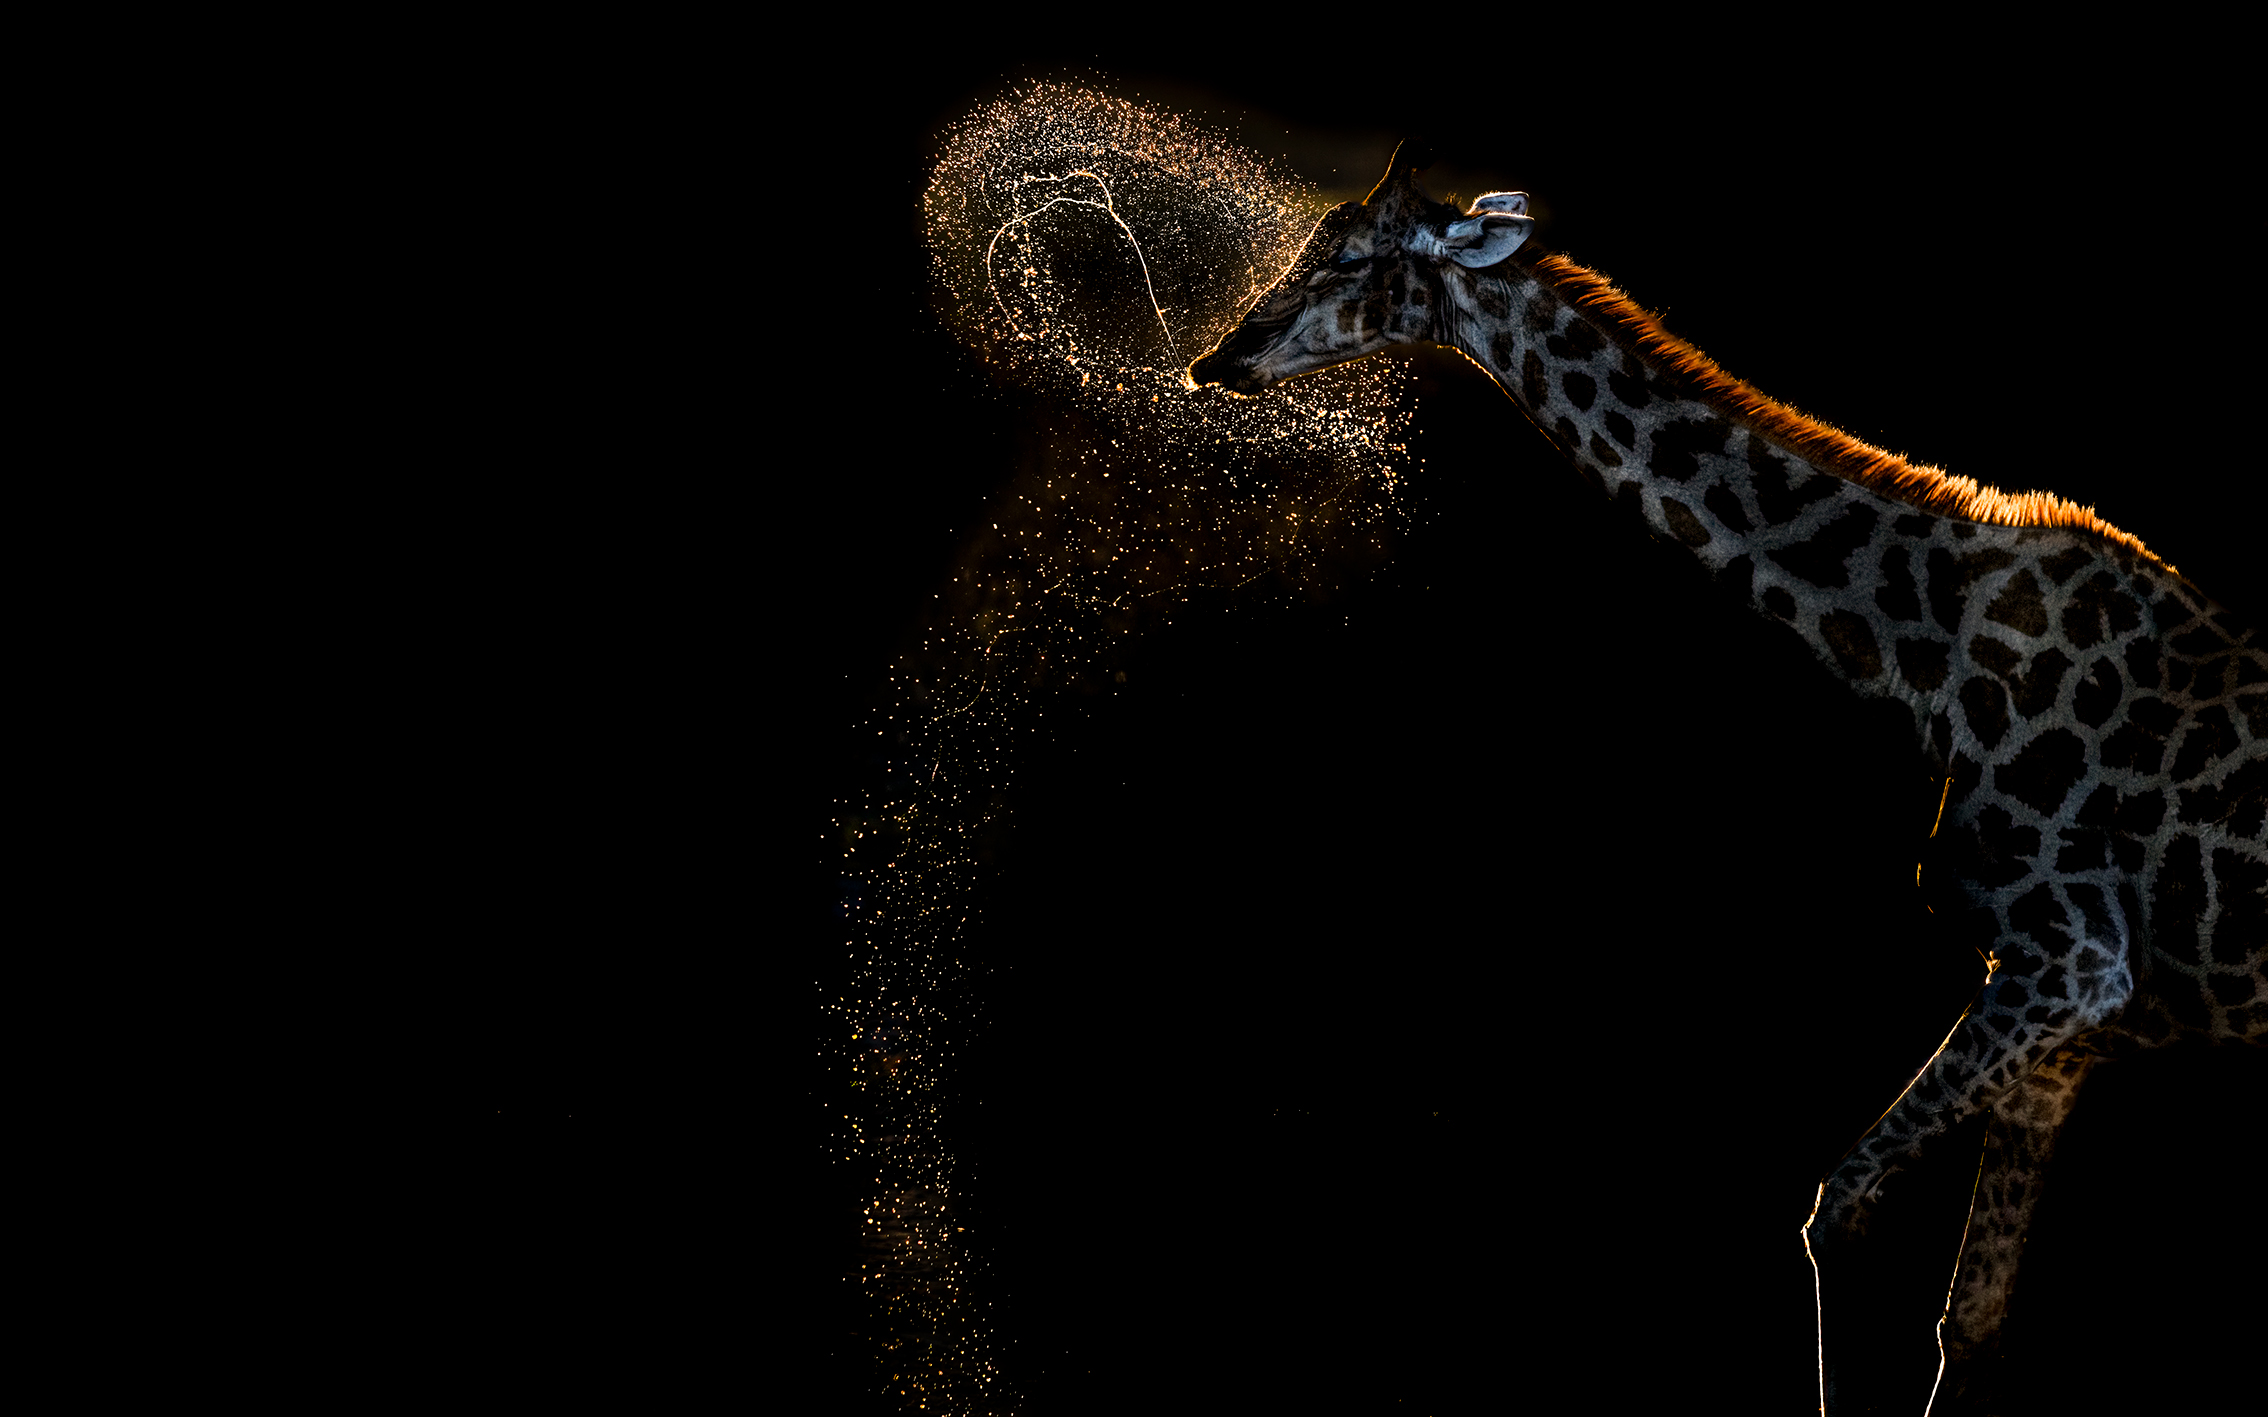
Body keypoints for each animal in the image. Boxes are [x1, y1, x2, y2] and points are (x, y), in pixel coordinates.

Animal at [1187, 144, 2266, 1415]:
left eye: (1351, 257)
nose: (1221, 356)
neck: (1926, 657)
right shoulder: (2075, 1016)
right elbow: (1970, 1316)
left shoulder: (2071, 961)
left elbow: (1839, 1211)